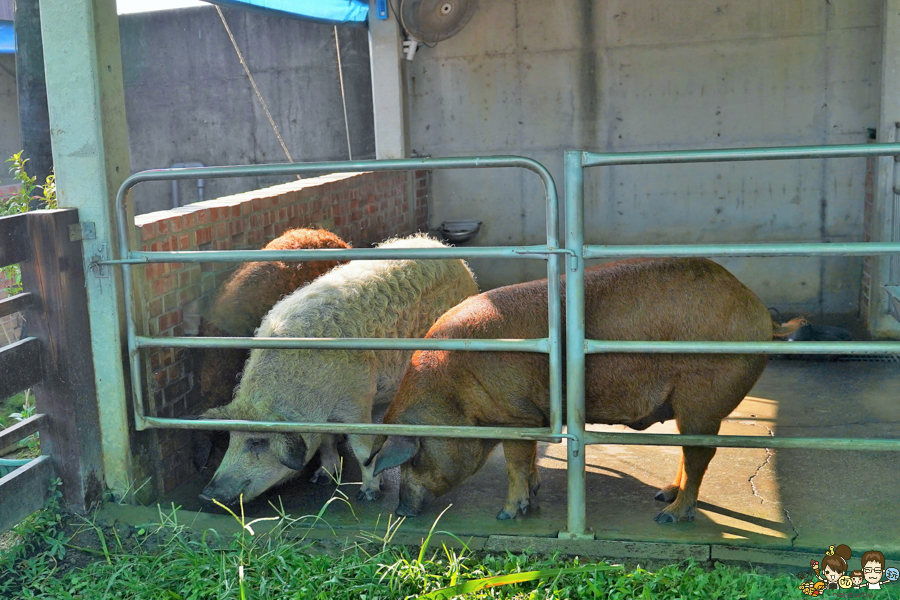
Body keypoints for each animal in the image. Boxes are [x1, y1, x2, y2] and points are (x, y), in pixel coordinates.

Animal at [197, 234, 478, 506]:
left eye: (256, 442)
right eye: (231, 438)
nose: (206, 493)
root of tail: (437, 244)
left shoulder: (357, 399)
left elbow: (363, 449)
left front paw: (368, 494)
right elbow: (325, 442)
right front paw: (322, 478)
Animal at [366, 258, 800, 524]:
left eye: (414, 457)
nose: (400, 511)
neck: (456, 398)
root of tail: (761, 316)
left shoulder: (515, 416)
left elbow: (514, 463)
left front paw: (507, 514)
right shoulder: (534, 417)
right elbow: (527, 462)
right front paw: (533, 495)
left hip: (703, 399)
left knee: (699, 456)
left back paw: (669, 516)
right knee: (689, 452)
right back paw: (663, 496)